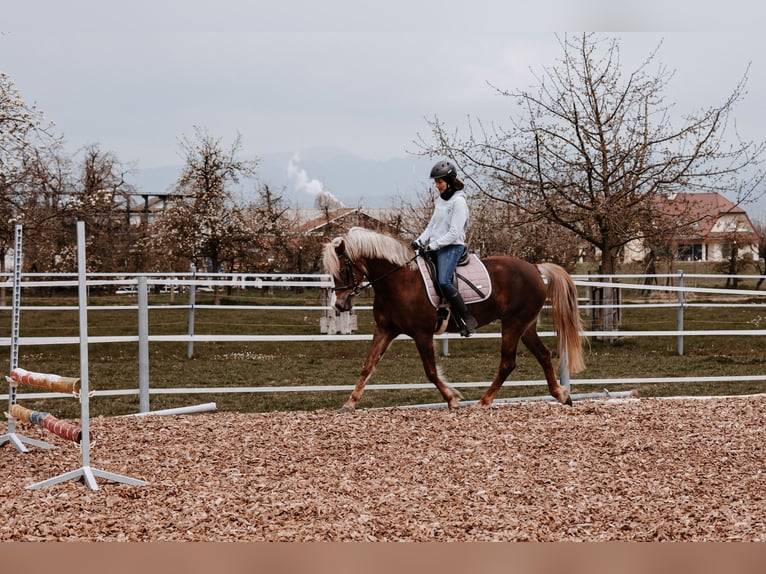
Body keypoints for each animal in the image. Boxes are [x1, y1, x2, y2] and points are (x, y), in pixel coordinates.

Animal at [324, 227, 588, 412]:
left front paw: (452, 398)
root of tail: (534, 267)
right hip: (526, 326)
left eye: (343, 269)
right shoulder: (385, 329)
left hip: (513, 324)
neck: (399, 280)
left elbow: (430, 371)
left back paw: (484, 401)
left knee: (508, 363)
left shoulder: (422, 334)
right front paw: (349, 403)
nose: (339, 305)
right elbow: (368, 365)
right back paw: (561, 395)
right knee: (543, 355)